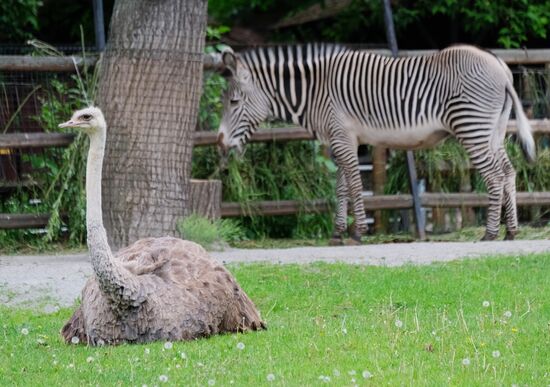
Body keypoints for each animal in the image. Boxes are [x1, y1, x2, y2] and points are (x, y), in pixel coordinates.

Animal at [218, 44, 536, 244]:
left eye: (233, 102)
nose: (220, 143)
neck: (314, 92)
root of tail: (501, 67)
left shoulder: (343, 137)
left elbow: (355, 185)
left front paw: (358, 231)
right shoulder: (340, 139)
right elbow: (342, 186)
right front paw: (337, 233)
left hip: (472, 127)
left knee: (494, 176)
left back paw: (490, 233)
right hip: (492, 130)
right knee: (508, 172)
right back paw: (511, 232)